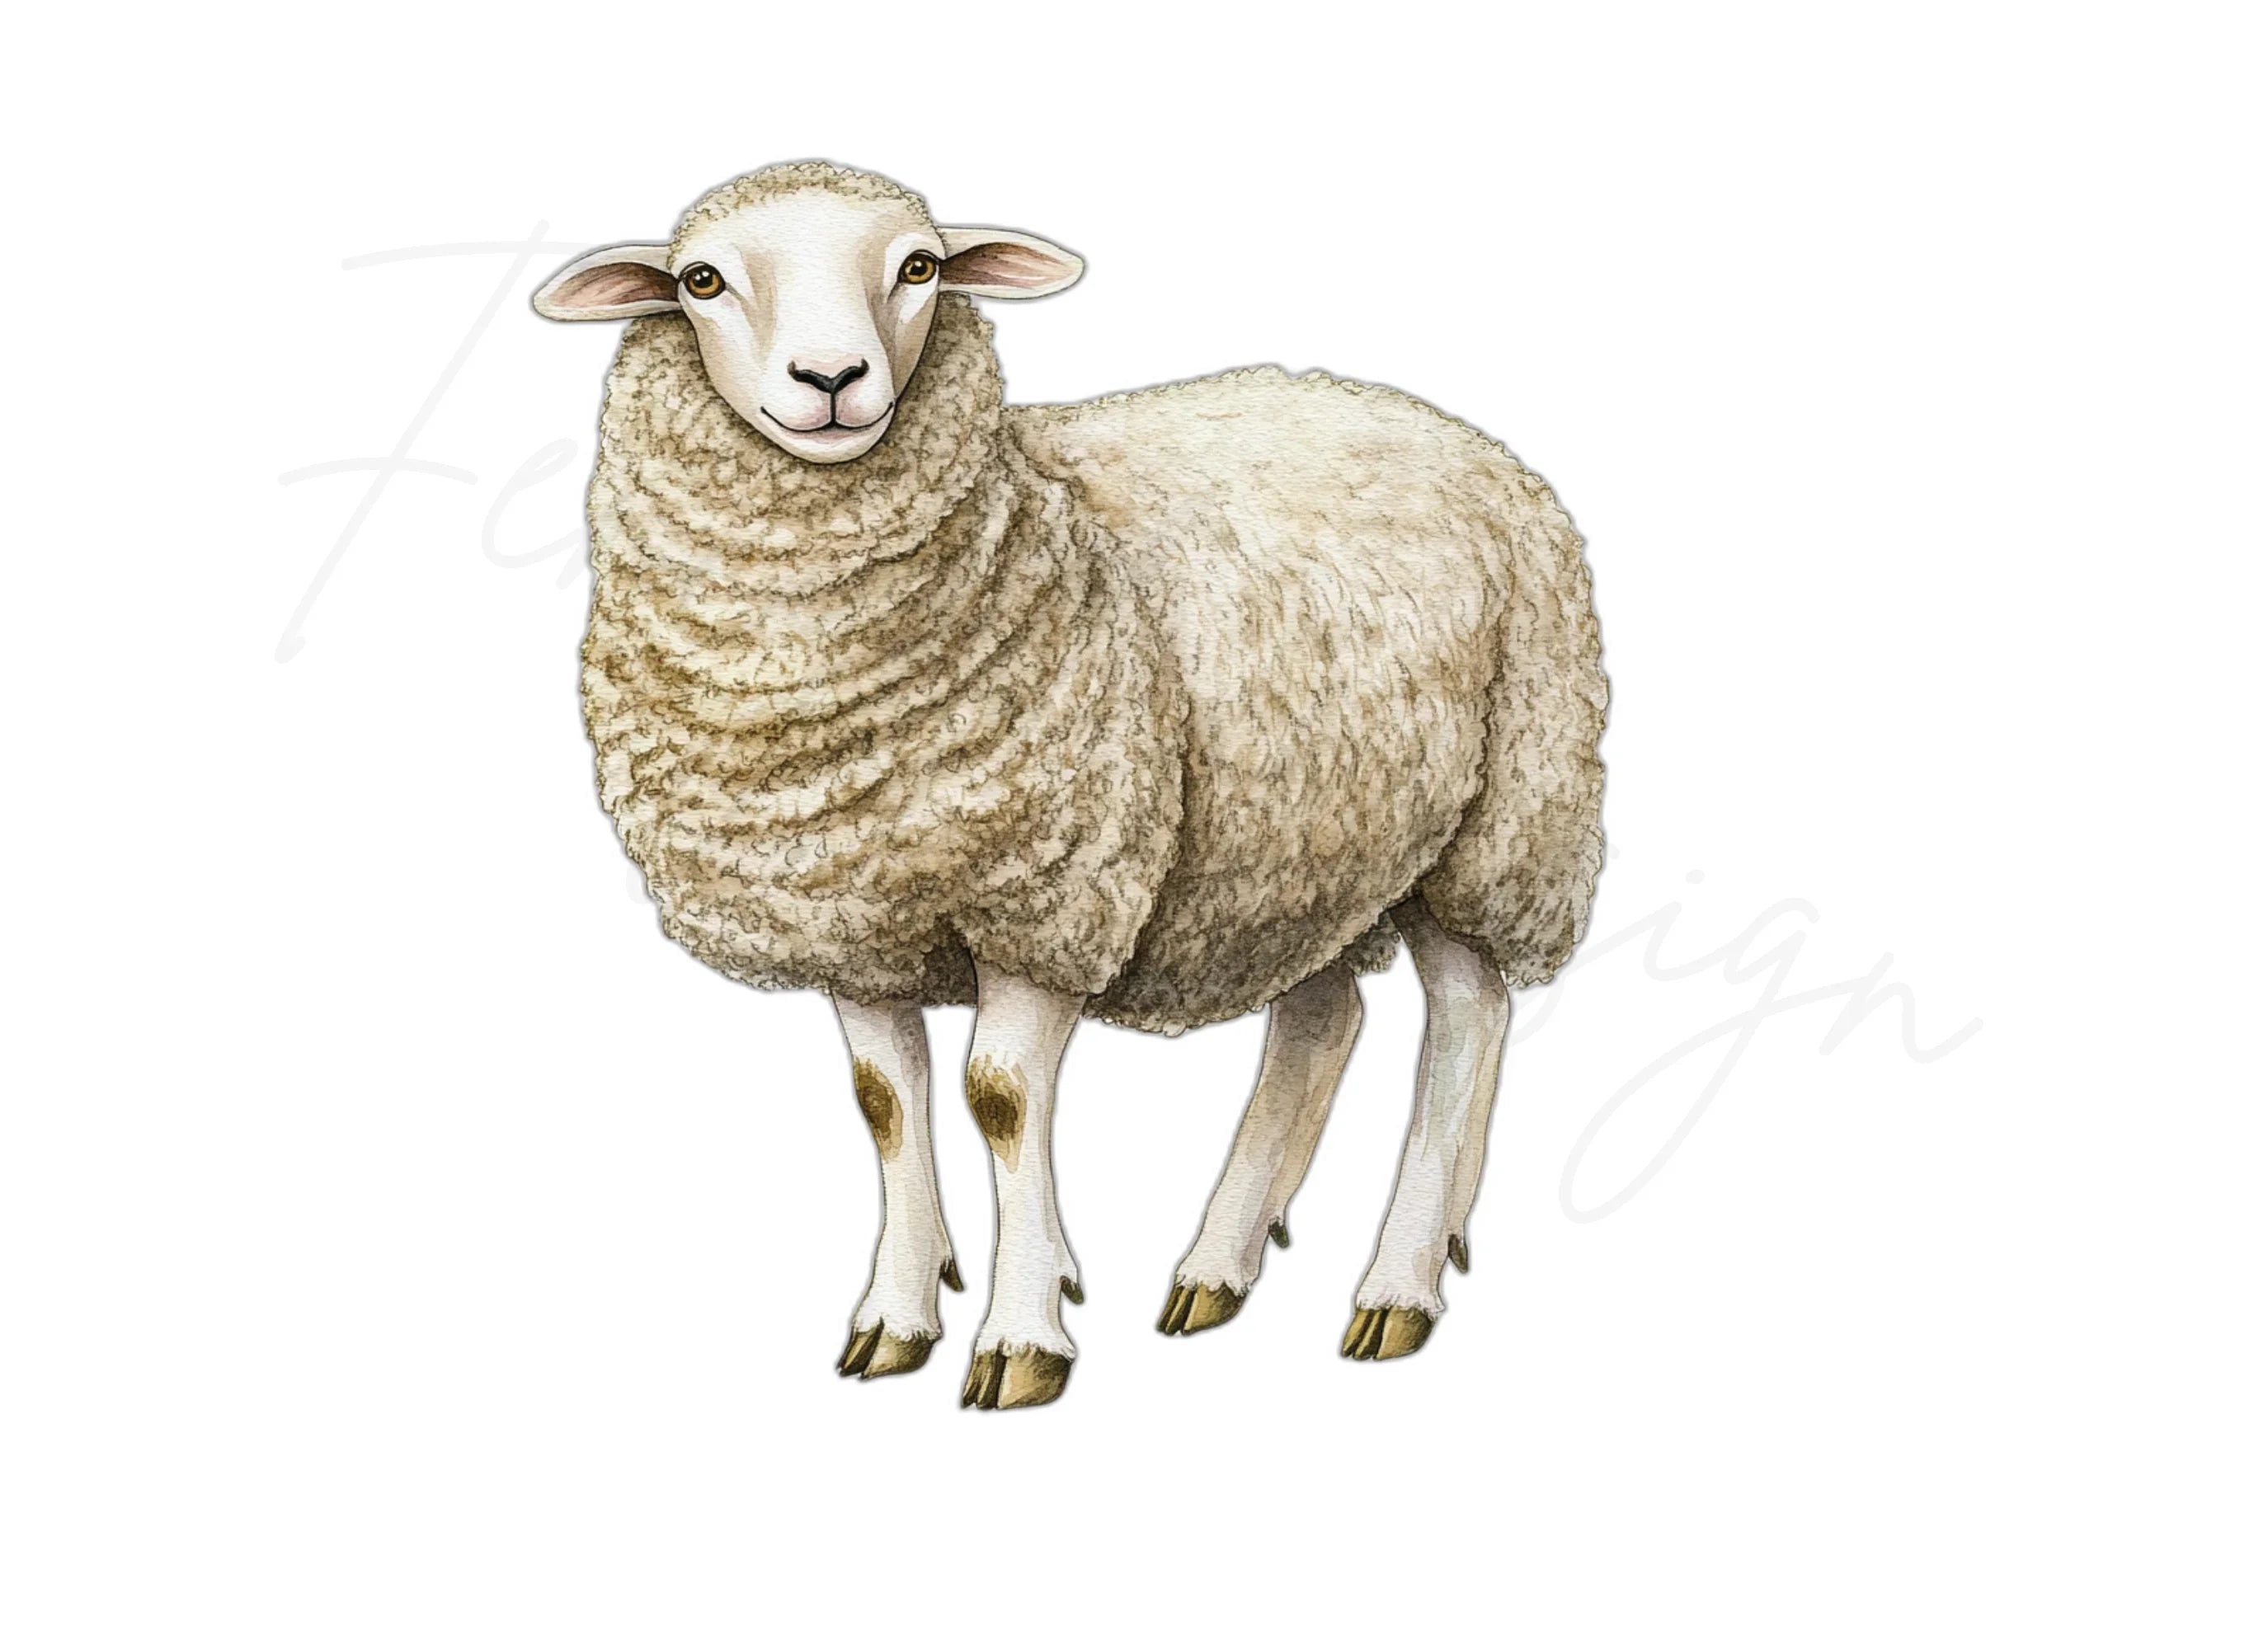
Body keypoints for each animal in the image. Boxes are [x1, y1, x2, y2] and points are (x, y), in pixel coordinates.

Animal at [534, 161, 1607, 1408]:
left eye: (919, 266)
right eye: (701, 280)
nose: (832, 381)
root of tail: (1446, 427)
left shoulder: (1049, 891)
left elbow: (999, 1099)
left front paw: (1021, 1334)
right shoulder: (851, 909)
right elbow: (886, 1106)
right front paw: (896, 1315)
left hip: (1499, 819)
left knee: (1468, 1019)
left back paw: (1398, 1280)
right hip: (1301, 839)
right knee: (1319, 1018)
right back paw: (1220, 1262)